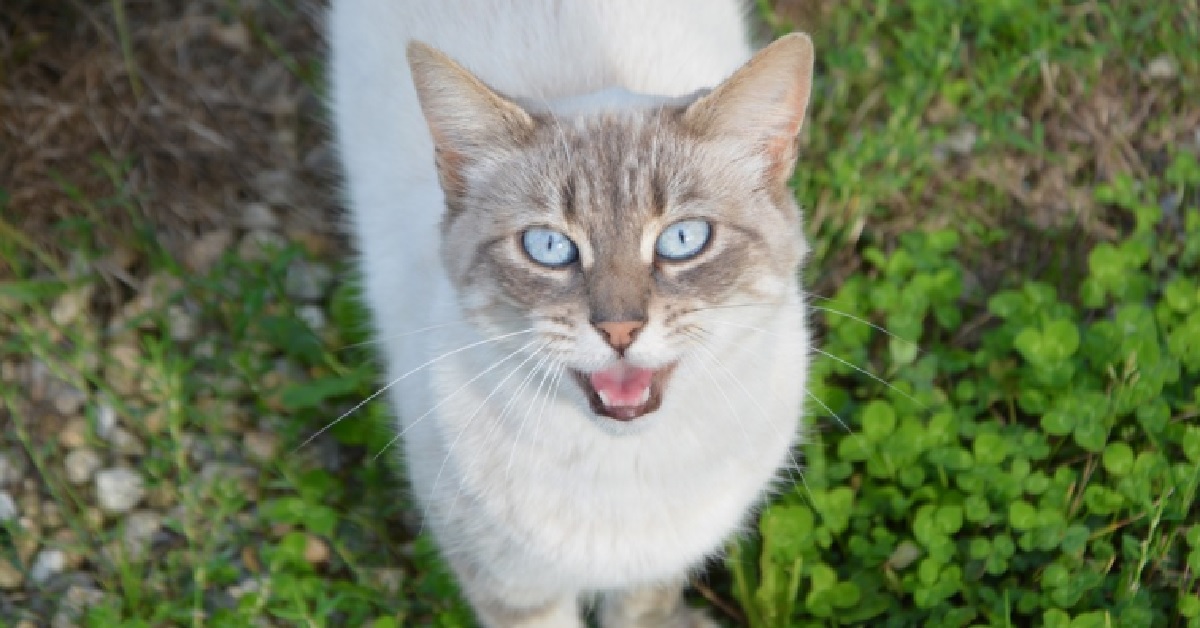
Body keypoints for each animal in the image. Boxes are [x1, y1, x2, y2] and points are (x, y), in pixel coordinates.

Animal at [328, 2, 816, 624]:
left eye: (683, 239)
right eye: (549, 247)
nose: (619, 329)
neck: (623, 468)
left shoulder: (654, 570)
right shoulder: (513, 588)